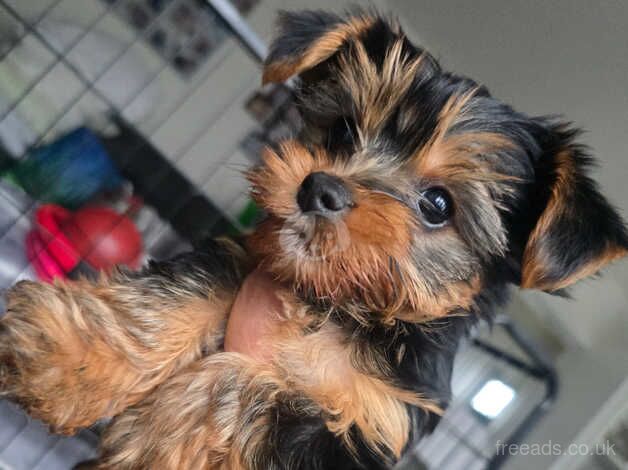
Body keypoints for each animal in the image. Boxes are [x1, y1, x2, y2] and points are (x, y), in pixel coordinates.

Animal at [1, 8, 628, 470]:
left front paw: (168, 427)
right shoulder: (243, 261)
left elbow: (258, 389)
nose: (318, 188)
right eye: (344, 131)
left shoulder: (368, 424)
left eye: (438, 205)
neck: (337, 304)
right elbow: (183, 289)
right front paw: (66, 357)